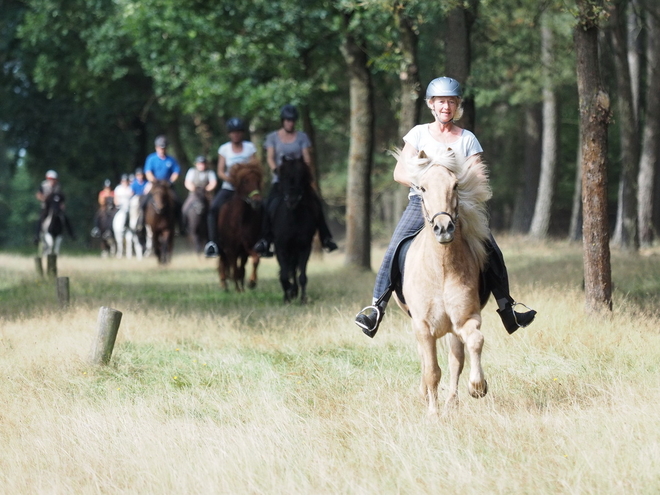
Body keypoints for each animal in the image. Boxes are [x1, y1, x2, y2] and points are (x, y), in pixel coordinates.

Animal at [270, 157, 318, 304]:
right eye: (283, 176)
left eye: (301, 176)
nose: (291, 200)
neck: (293, 220)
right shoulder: (280, 248)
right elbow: (284, 275)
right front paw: (288, 295)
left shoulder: (304, 248)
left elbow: (302, 276)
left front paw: (302, 298)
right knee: (288, 270)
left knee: (294, 269)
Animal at [394, 149, 492, 416]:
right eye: (422, 188)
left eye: (455, 185)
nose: (444, 228)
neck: (442, 269)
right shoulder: (423, 326)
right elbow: (431, 371)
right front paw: (432, 413)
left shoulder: (466, 318)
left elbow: (474, 342)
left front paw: (478, 387)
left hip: (450, 329)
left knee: (455, 359)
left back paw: (452, 402)